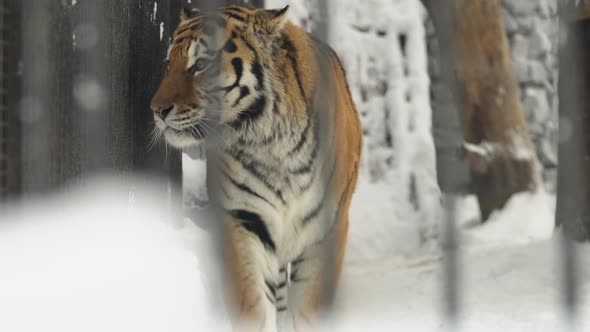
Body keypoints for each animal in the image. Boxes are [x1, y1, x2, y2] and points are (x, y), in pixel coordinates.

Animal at [150, 5, 364, 332]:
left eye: (200, 64)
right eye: (168, 63)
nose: (157, 110)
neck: (271, 143)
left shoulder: (326, 229)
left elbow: (308, 309)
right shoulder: (244, 219)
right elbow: (254, 305)